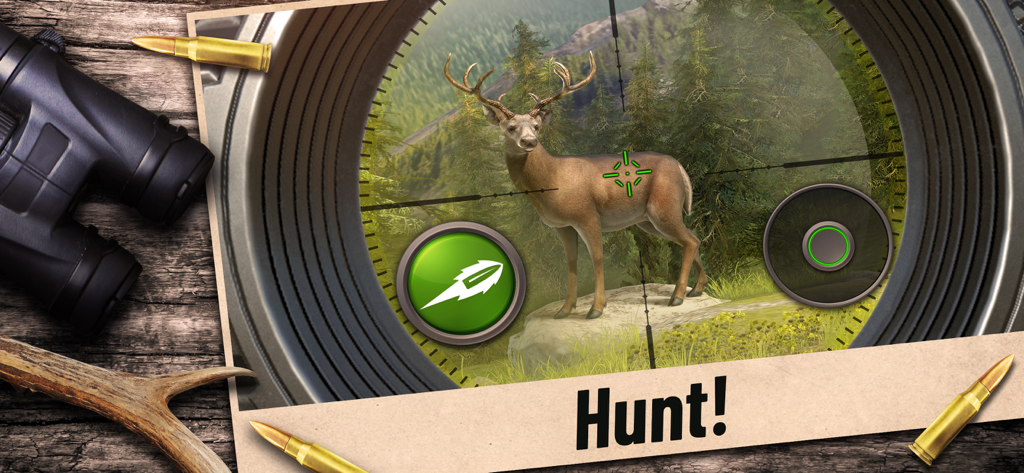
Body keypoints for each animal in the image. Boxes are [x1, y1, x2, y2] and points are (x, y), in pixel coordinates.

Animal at [444, 52, 708, 320]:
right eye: (510, 128)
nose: (529, 142)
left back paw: (677, 296)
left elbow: (597, 259)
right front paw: (564, 309)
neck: (552, 181)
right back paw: (696, 289)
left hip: (663, 206)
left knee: (690, 240)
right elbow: (570, 263)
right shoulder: (562, 225)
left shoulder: (587, 215)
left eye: (537, 126)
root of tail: (679, 166)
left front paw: (596, 308)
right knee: (692, 237)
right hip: (647, 219)